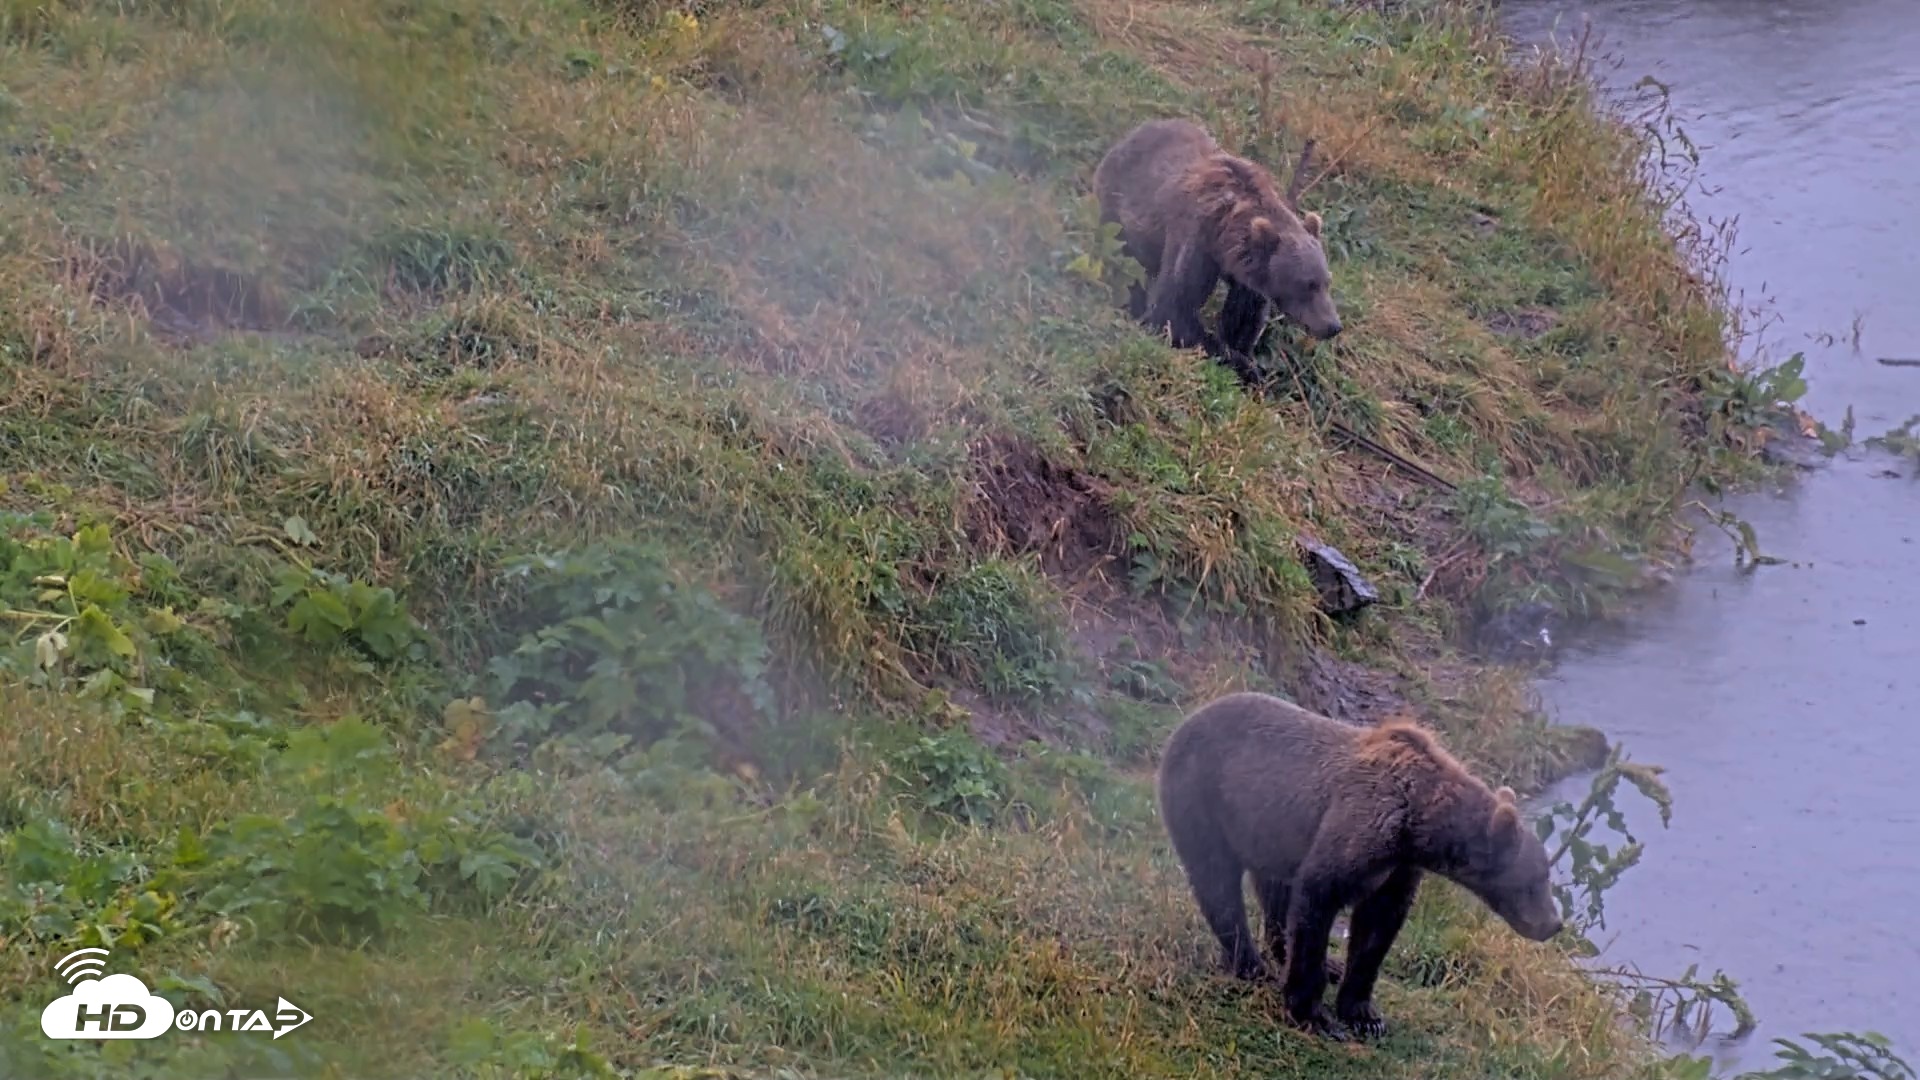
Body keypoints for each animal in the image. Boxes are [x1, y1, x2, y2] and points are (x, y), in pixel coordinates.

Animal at [1092, 118, 1343, 380]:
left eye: (1327, 281)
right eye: (1307, 284)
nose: (1333, 325)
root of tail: (1127, 136)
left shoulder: (1248, 274)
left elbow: (1244, 315)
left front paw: (1242, 353)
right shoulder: (1196, 238)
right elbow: (1174, 304)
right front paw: (1235, 359)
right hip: (1118, 210)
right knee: (1126, 266)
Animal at [1154, 691, 1562, 1039]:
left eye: (1546, 875)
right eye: (1536, 879)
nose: (1553, 924)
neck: (1417, 822)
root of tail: (1185, 722)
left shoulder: (1397, 868)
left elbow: (1377, 929)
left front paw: (1364, 1014)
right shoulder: (1359, 830)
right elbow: (1317, 898)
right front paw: (1313, 1013)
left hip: (1267, 831)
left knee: (1273, 893)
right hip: (1202, 798)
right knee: (1217, 883)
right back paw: (1250, 964)